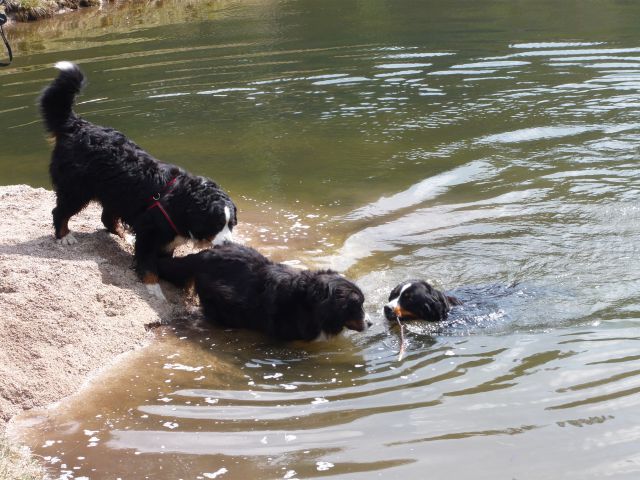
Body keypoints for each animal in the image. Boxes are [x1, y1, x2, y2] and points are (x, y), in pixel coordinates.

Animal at [40, 61, 236, 298]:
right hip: (77, 189)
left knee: (107, 218)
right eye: (215, 224)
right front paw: (154, 288)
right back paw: (64, 236)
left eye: (231, 224)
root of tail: (77, 125)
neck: (181, 202)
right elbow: (148, 264)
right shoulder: (149, 234)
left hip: (115, 193)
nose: (228, 244)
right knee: (60, 211)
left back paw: (123, 235)